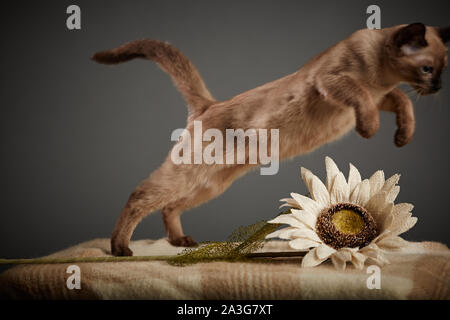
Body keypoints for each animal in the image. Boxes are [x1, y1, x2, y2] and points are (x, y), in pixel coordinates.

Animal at [92, 22, 450, 256]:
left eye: (443, 69)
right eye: (427, 69)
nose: (438, 88)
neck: (381, 77)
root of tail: (209, 105)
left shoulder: (383, 97)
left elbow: (403, 102)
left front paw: (403, 136)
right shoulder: (335, 84)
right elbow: (365, 98)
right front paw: (369, 130)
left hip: (212, 184)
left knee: (169, 206)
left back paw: (180, 242)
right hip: (190, 173)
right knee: (141, 196)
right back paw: (119, 248)